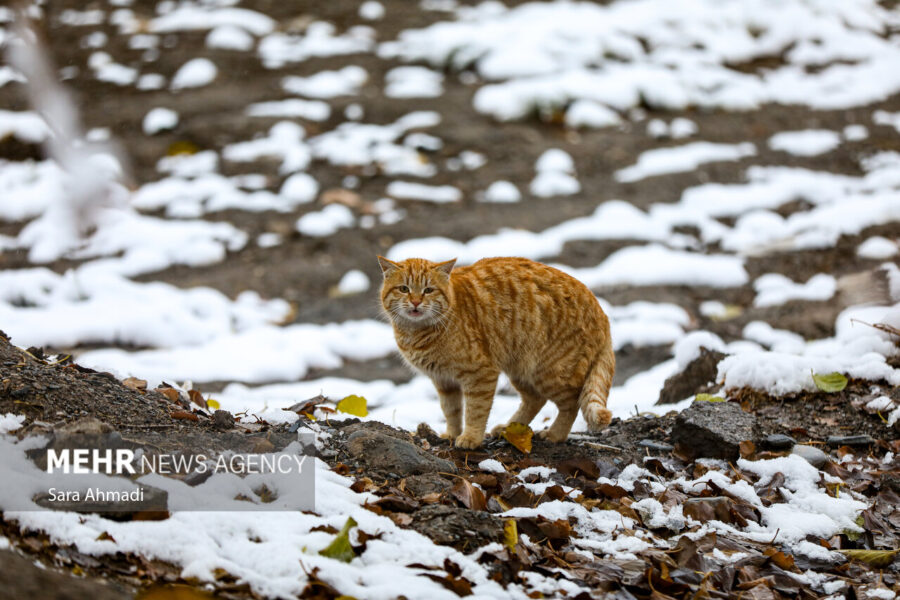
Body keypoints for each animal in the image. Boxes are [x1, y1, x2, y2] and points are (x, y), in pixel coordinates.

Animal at [378, 256, 615, 449]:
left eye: (428, 290)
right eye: (404, 289)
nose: (416, 302)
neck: (417, 333)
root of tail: (602, 313)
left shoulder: (480, 373)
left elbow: (476, 410)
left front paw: (471, 438)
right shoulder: (444, 381)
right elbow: (451, 411)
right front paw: (452, 434)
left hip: (550, 372)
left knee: (571, 403)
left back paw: (555, 434)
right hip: (521, 369)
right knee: (535, 399)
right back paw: (510, 428)